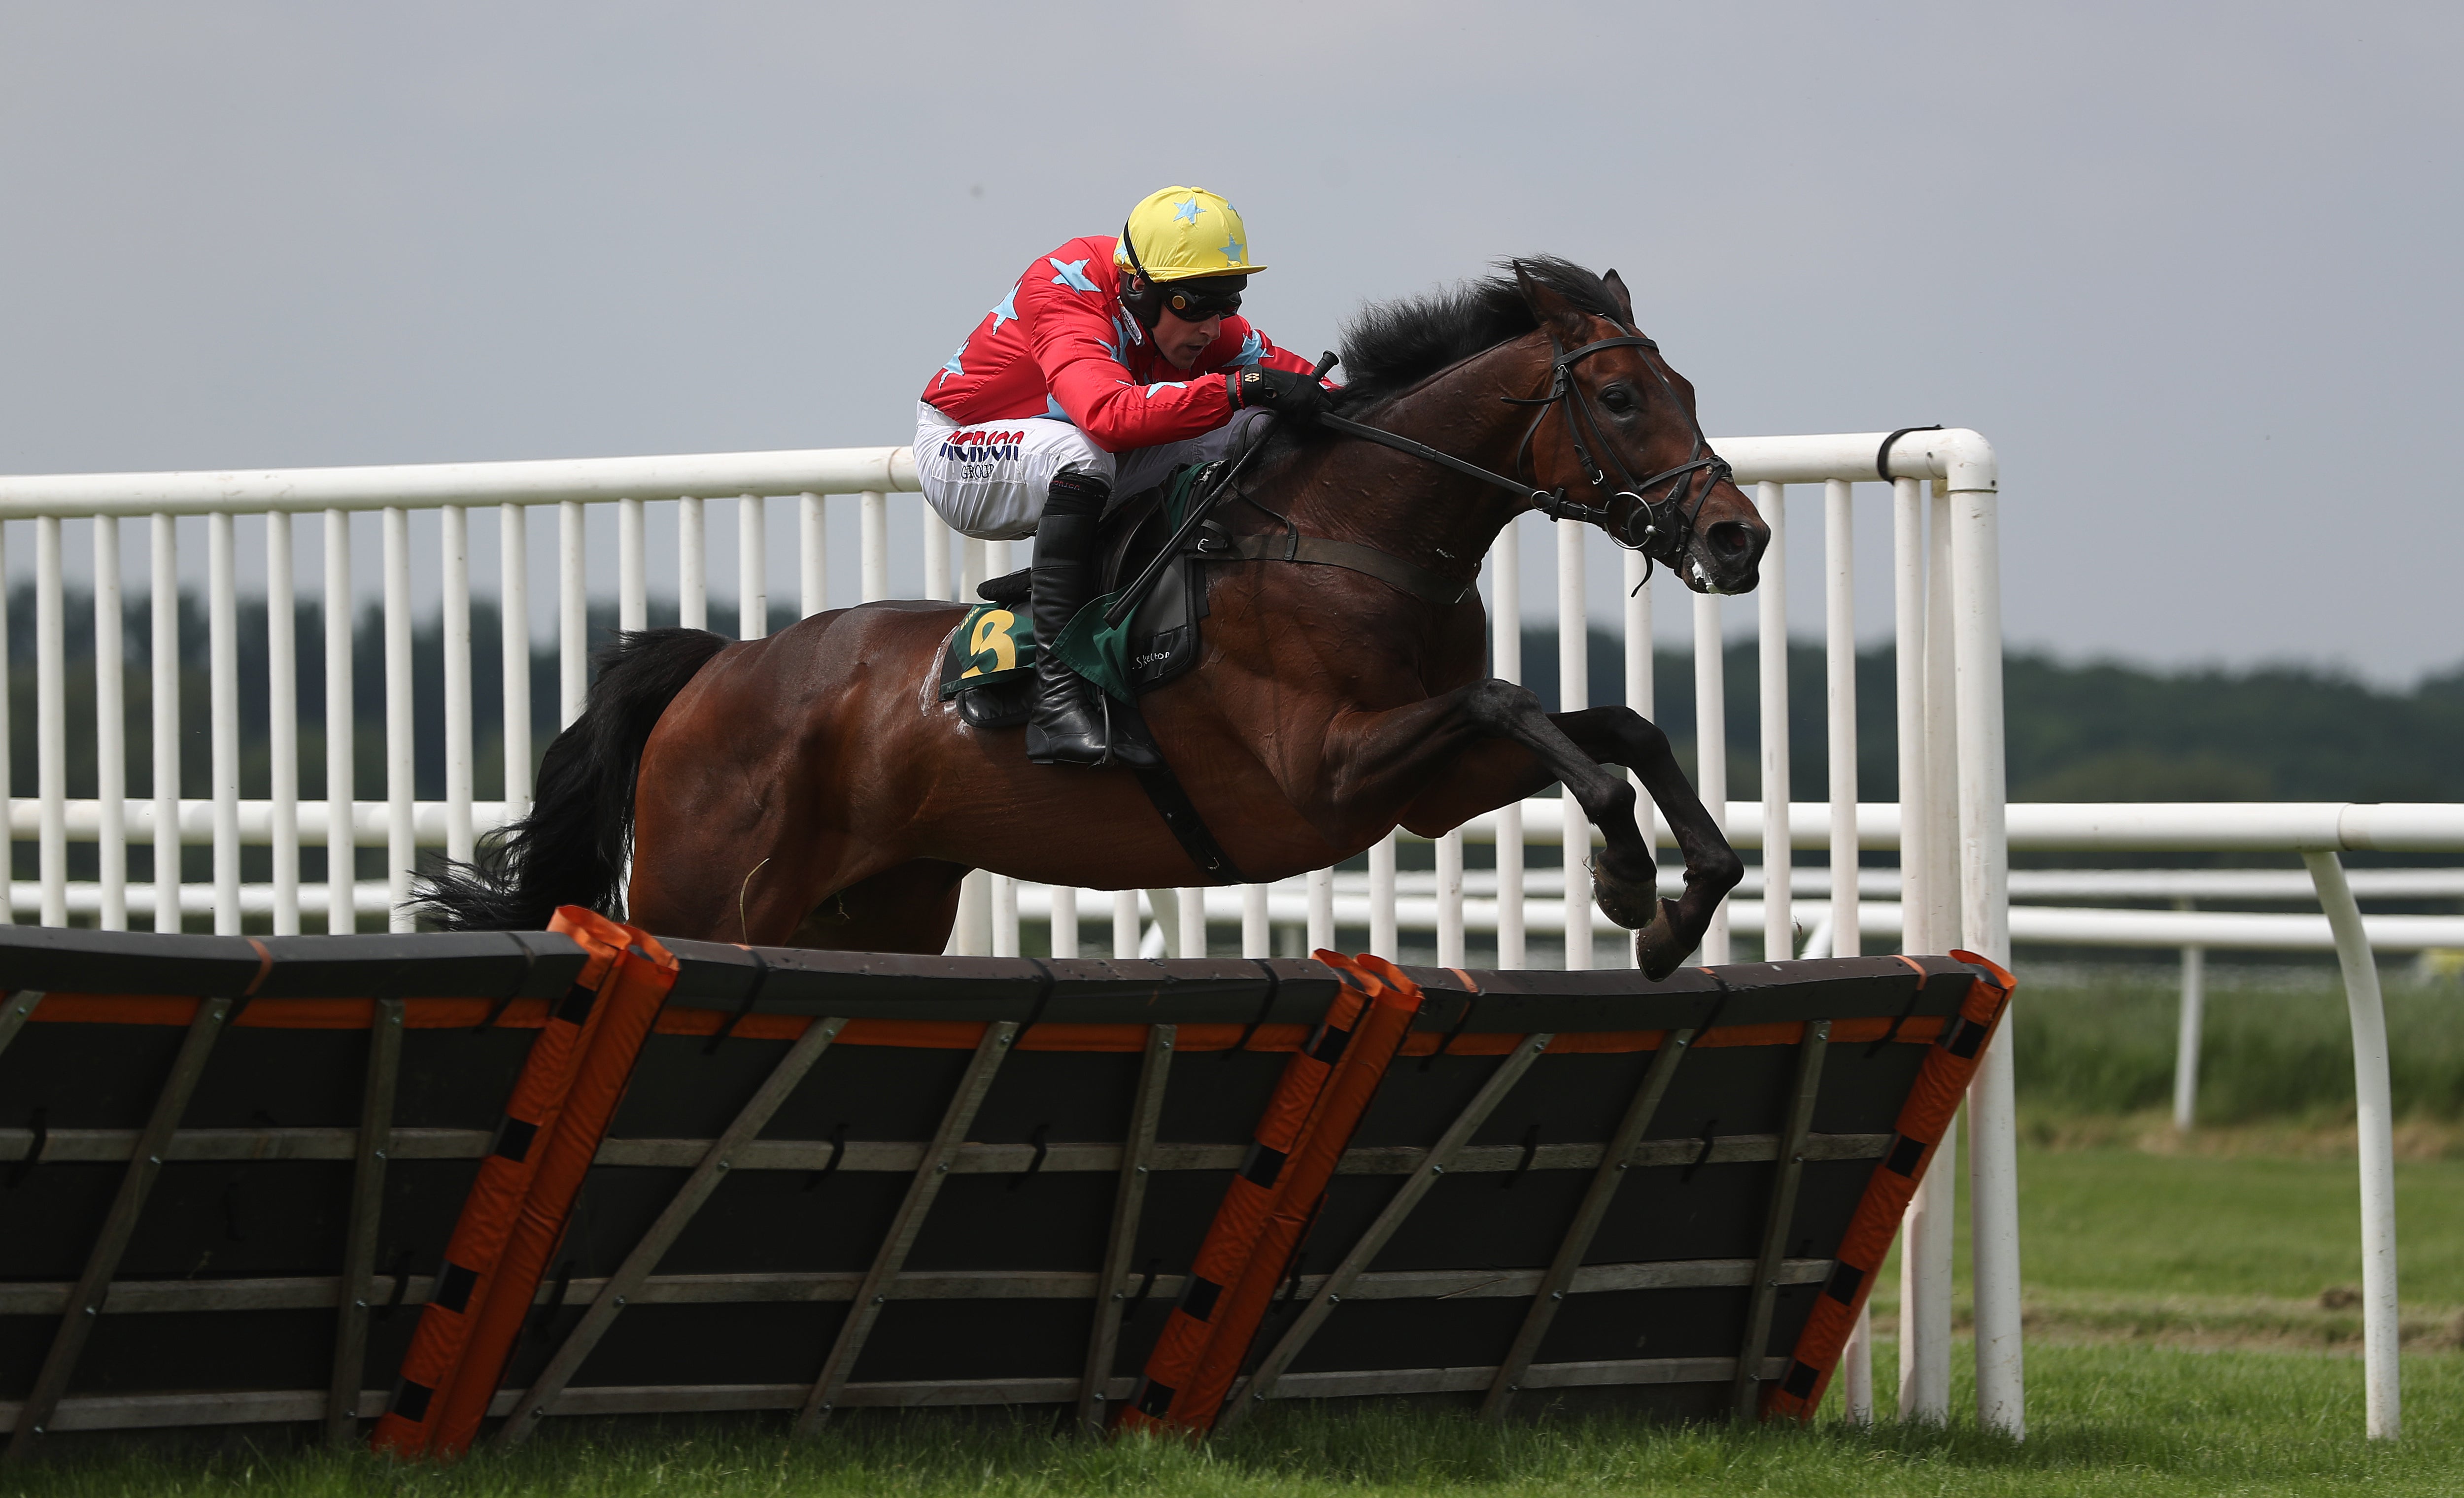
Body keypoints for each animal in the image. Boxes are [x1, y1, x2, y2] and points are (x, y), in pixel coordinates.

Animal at [419, 257, 1774, 976]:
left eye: (1688, 386)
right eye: (1616, 395)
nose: (1736, 537)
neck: (1349, 535)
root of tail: (717, 667)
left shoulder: (1423, 785)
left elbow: (1612, 726)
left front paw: (1682, 901)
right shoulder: (1328, 770)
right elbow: (1528, 712)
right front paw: (1624, 881)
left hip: (883, 907)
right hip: (705, 901)